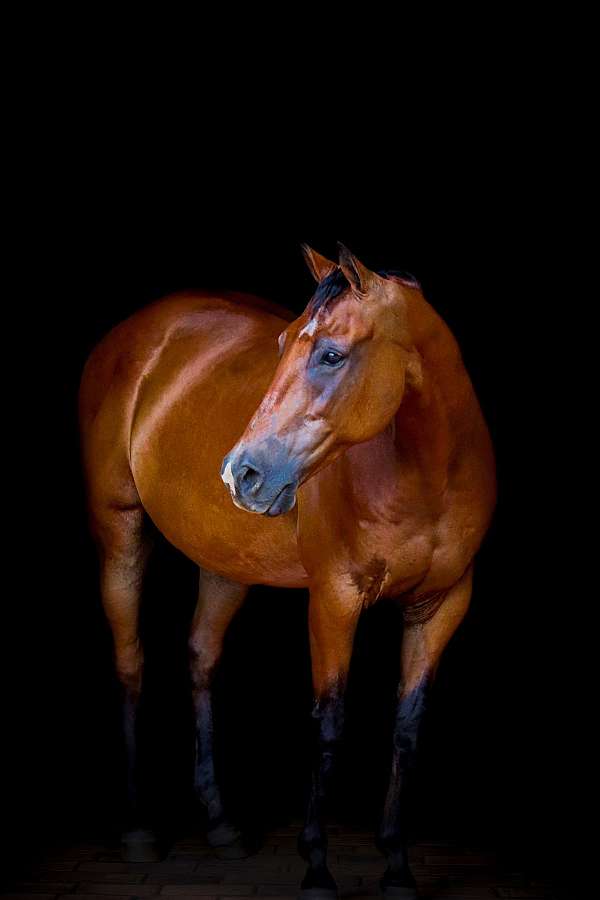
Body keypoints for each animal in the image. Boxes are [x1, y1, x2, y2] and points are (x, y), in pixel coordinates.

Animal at [79, 243, 496, 899]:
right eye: (280, 345)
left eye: (331, 354)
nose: (241, 473)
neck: (427, 475)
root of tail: (136, 331)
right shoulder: (334, 598)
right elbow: (328, 723)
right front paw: (317, 867)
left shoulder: (444, 603)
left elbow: (407, 727)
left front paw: (397, 866)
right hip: (118, 533)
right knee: (129, 663)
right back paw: (140, 829)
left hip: (225, 565)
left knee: (200, 657)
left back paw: (221, 826)